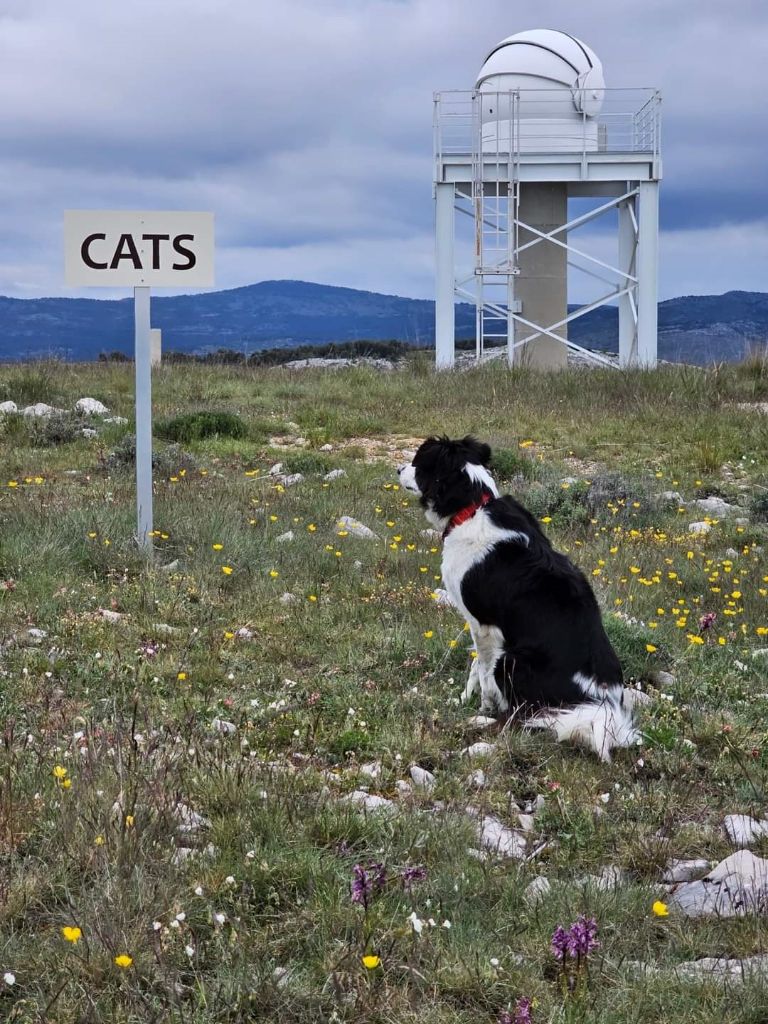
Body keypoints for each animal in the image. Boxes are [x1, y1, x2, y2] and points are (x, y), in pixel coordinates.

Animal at [399, 434, 638, 761]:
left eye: (417, 462)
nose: (398, 469)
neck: (472, 508)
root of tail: (601, 706)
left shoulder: (484, 625)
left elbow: (482, 670)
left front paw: (481, 707)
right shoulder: (482, 626)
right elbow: (475, 667)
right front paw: (462, 699)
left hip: (510, 660)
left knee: (519, 716)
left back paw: (484, 722)